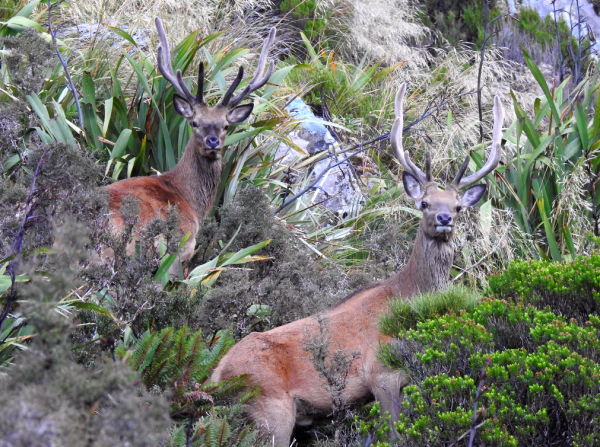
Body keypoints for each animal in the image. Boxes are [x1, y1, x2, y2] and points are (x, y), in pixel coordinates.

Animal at [211, 83, 506, 444]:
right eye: (424, 202)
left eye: (458, 206)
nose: (444, 218)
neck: (408, 299)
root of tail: (217, 373)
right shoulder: (382, 374)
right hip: (271, 410)